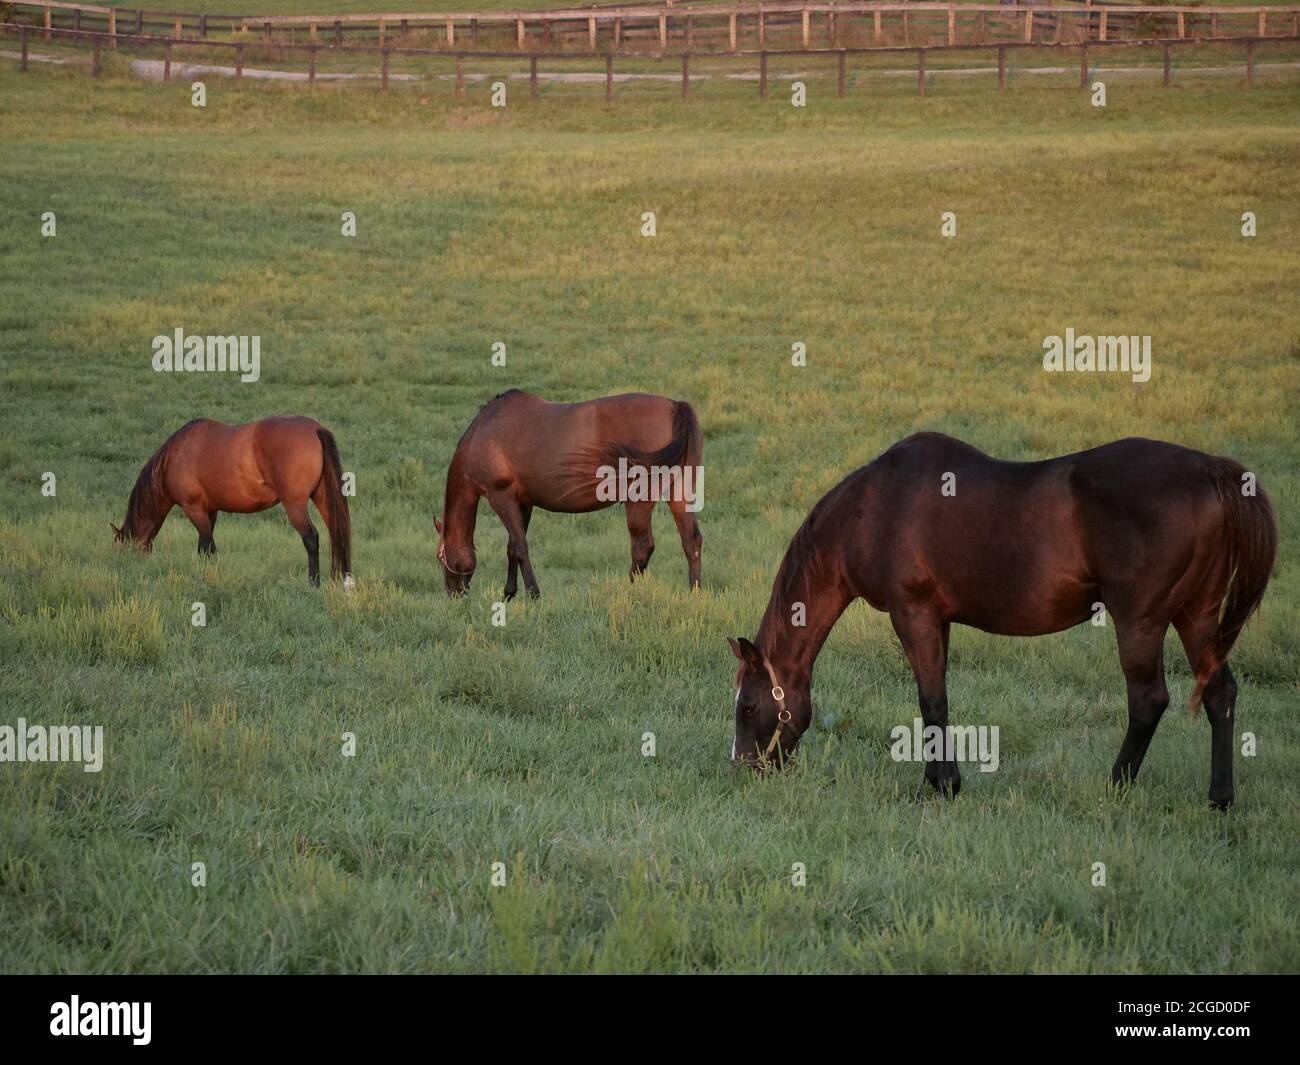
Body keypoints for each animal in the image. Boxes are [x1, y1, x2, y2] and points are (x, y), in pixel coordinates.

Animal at [113, 416, 353, 587]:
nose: (131, 569)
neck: (176, 454)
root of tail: (315, 429)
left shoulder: (193, 508)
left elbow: (208, 545)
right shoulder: (210, 510)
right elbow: (203, 546)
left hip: (295, 505)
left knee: (311, 538)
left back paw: (314, 584)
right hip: (322, 498)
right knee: (338, 532)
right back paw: (346, 582)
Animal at [436, 390, 703, 598]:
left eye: (440, 559)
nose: (454, 595)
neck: (482, 434)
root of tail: (675, 406)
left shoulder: (501, 496)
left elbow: (520, 546)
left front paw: (533, 593)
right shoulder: (523, 502)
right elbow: (512, 546)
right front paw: (509, 593)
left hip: (638, 499)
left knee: (643, 546)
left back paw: (627, 590)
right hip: (678, 493)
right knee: (691, 540)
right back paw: (695, 592)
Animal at [728, 432, 1277, 809]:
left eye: (749, 707)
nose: (744, 768)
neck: (874, 507)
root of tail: (1209, 469)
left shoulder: (913, 613)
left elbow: (931, 700)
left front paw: (943, 786)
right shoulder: (939, 619)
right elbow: (938, 699)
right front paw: (937, 779)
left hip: (1139, 623)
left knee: (1148, 701)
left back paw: (1115, 786)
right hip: (1196, 616)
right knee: (1219, 693)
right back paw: (1220, 799)